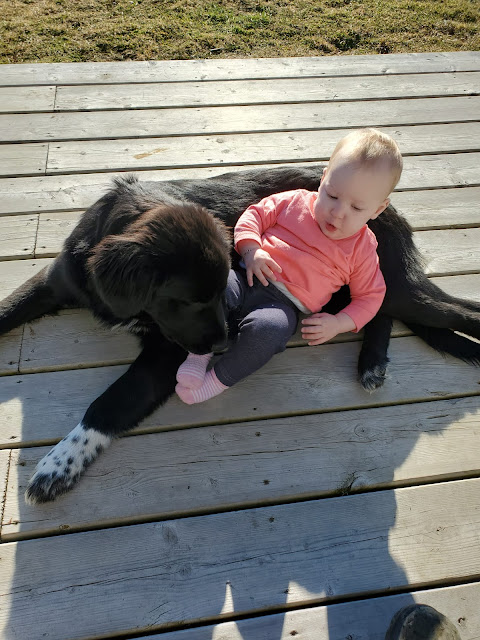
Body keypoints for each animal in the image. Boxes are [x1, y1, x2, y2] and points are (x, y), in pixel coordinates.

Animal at [1, 166, 479, 504]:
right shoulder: (55, 282)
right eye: (190, 300)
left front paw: (59, 464)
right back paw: (372, 363)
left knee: (448, 311)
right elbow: (7, 308)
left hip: (394, 284)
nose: (224, 345)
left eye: (220, 290)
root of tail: (390, 209)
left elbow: (111, 402)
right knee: (376, 312)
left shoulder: (164, 354)